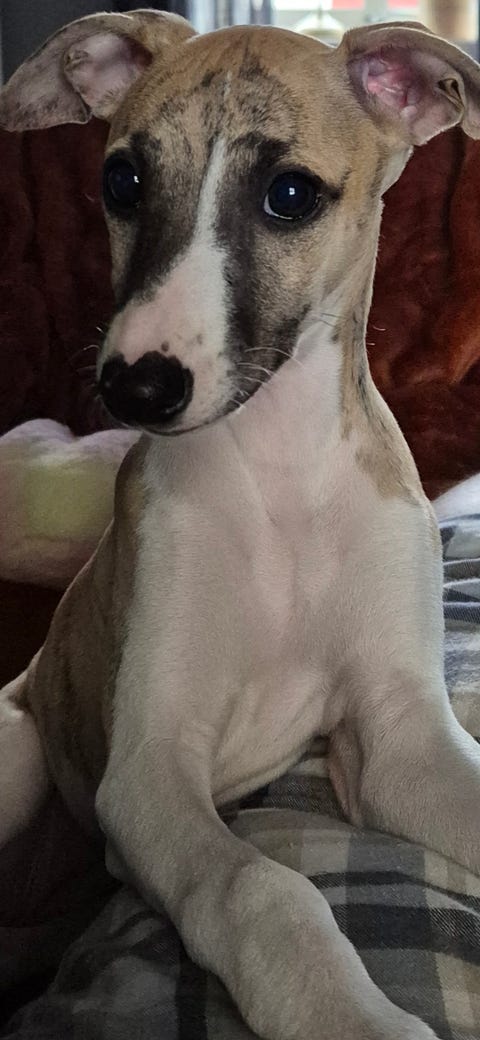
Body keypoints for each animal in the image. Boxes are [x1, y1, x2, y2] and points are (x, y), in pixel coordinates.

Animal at [1, 11, 480, 1039]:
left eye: (289, 194)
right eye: (122, 179)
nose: (134, 387)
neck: (281, 477)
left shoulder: (398, 737)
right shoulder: (147, 772)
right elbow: (259, 890)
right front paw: (354, 1016)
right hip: (17, 748)